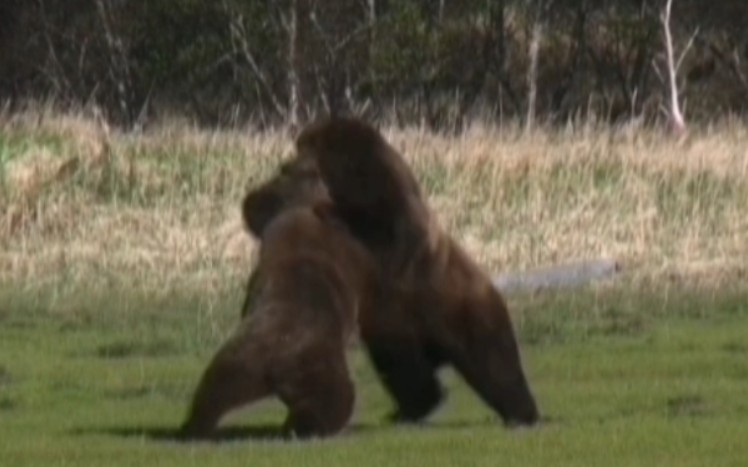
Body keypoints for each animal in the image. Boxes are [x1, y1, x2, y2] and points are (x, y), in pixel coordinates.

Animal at [290, 118, 540, 428]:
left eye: (306, 144)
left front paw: (324, 208)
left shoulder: (389, 220)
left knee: (493, 365)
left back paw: (521, 412)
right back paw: (408, 410)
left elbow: (373, 223)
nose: (289, 158)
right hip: (410, 321)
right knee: (404, 366)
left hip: (463, 315)